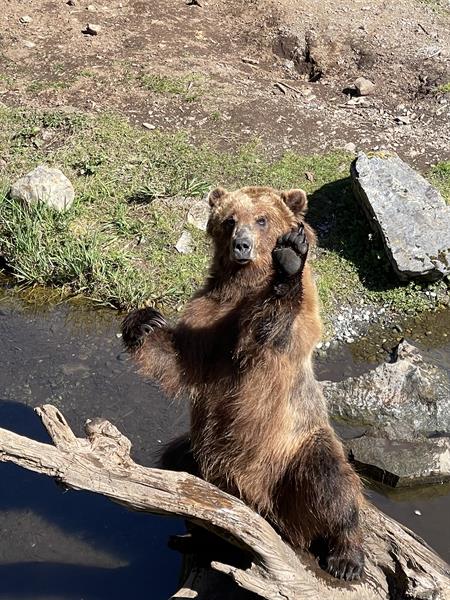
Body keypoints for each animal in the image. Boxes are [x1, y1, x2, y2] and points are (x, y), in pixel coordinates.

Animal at [122, 186, 366, 580]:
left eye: (262, 219)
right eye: (229, 219)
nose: (241, 244)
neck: (243, 287)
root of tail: (263, 502)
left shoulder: (286, 334)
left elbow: (274, 327)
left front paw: (289, 260)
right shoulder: (208, 317)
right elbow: (180, 360)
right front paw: (144, 321)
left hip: (294, 451)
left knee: (332, 483)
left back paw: (346, 556)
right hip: (202, 451)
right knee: (176, 461)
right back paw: (199, 537)